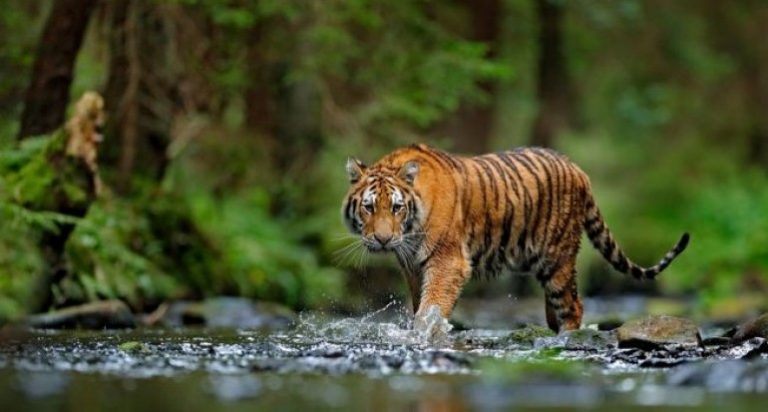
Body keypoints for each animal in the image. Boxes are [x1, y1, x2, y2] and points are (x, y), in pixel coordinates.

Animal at [342, 143, 688, 334]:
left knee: (573, 306)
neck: (410, 231)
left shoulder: (448, 261)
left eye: (396, 207)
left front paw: (424, 333)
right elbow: (420, 304)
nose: (383, 240)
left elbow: (432, 307)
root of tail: (578, 169)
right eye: (369, 207)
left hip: (557, 259)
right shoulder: (413, 267)